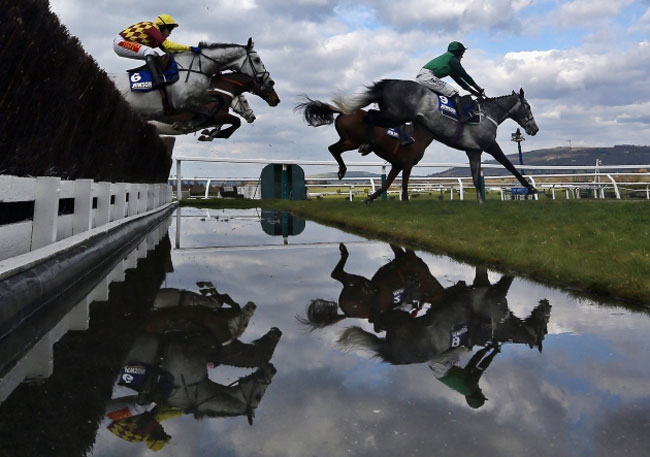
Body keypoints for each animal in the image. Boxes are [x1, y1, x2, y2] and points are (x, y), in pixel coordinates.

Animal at [294, 99, 430, 200]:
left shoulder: (397, 164)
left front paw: (371, 198)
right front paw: (405, 200)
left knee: (332, 148)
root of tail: (344, 111)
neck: (419, 135)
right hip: (353, 141)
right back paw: (343, 169)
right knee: (334, 149)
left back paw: (342, 170)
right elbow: (404, 185)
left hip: (345, 139)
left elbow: (386, 184)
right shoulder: (407, 164)